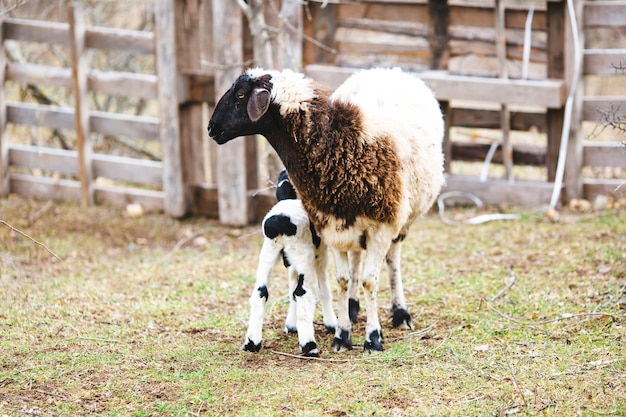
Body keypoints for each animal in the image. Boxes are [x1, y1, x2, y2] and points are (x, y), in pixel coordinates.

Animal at [245, 169, 336, 354]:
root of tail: (278, 222)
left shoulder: (291, 262)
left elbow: (291, 290)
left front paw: (291, 325)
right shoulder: (319, 254)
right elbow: (323, 288)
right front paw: (331, 324)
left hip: (268, 254)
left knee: (260, 292)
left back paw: (252, 343)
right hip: (304, 256)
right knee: (303, 293)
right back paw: (309, 346)